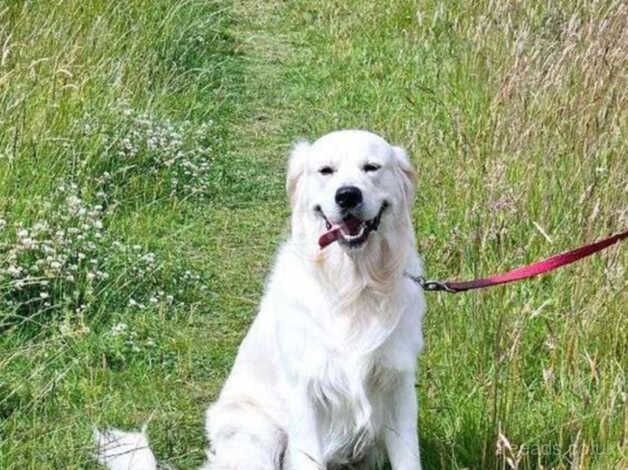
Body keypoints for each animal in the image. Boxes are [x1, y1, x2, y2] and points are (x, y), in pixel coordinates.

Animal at [95, 130, 424, 470]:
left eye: (372, 167)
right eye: (326, 171)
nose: (347, 195)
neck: (352, 286)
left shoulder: (398, 383)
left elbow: (408, 458)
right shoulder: (306, 391)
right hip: (259, 435)